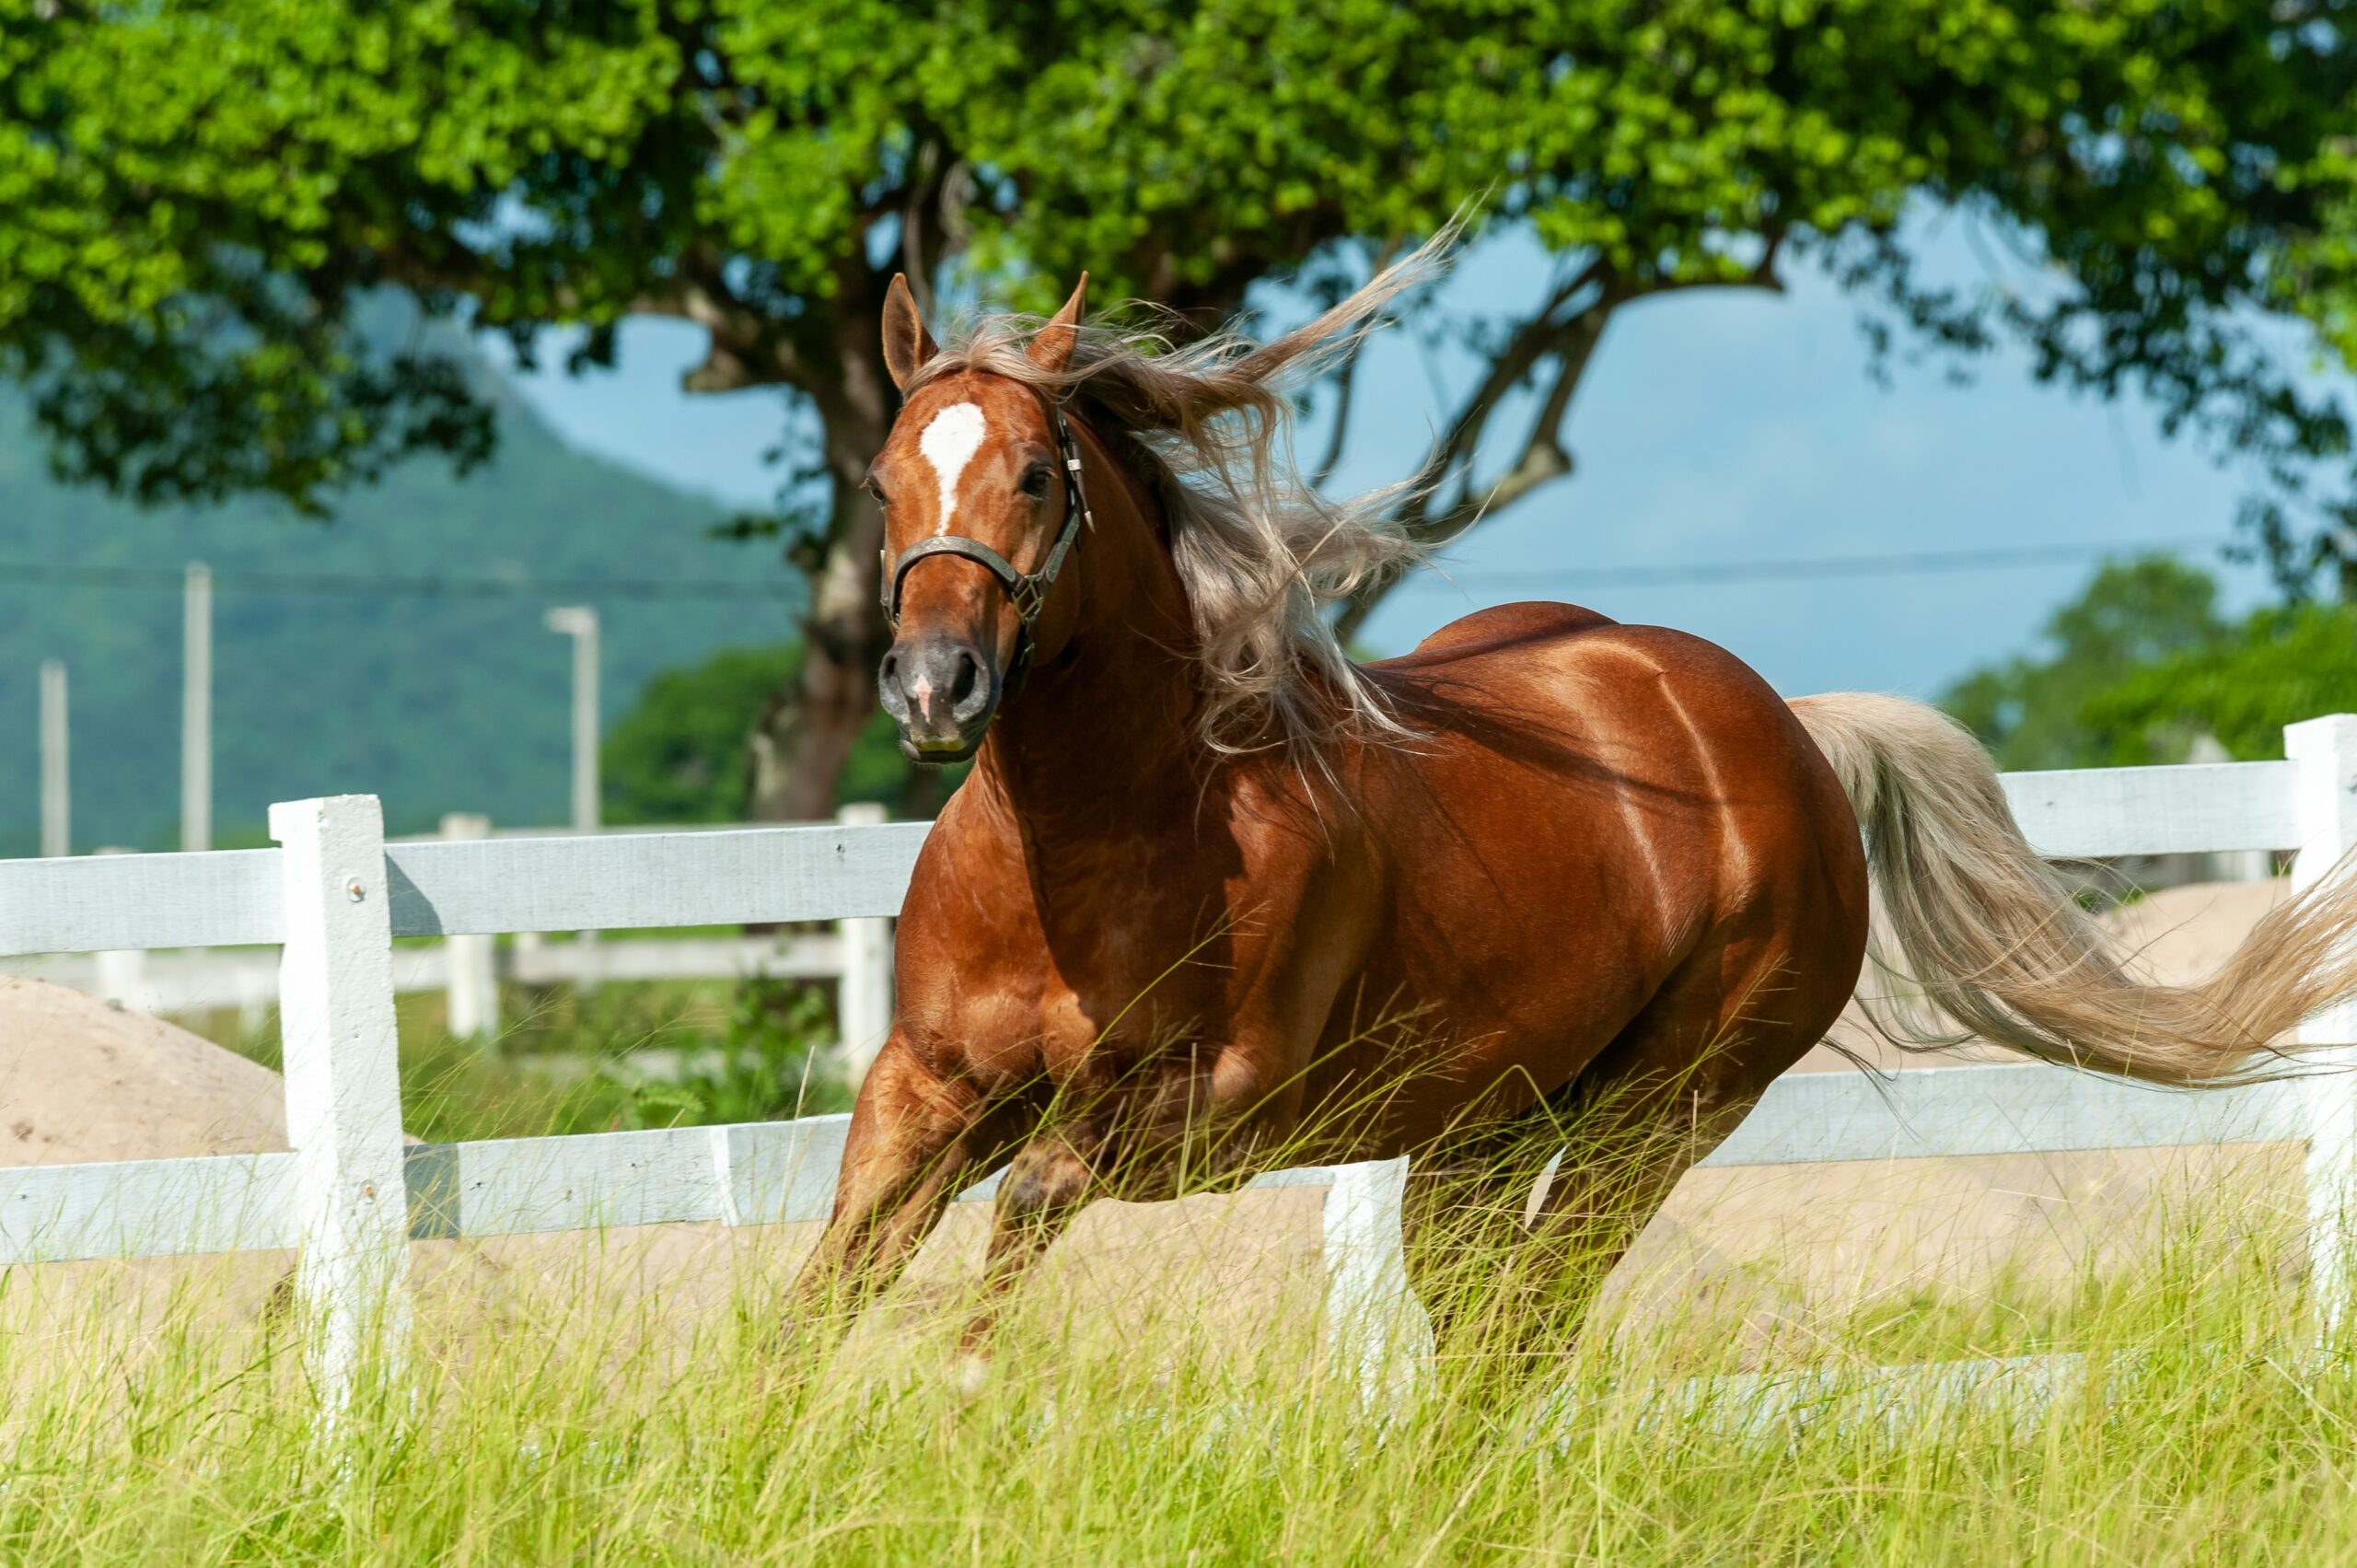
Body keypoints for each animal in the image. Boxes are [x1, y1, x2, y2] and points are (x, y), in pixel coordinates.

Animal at [787, 245, 2357, 1368]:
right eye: (882, 478)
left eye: (1035, 474)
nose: (934, 685)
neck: (1101, 834)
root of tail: (1785, 730)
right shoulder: (928, 1084)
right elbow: (825, 1288)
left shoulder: (1221, 1108)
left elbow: (1024, 1211)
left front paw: (962, 1383)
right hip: (1479, 1132)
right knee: (1485, 1329)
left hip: (1654, 1114)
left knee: (1530, 1331)